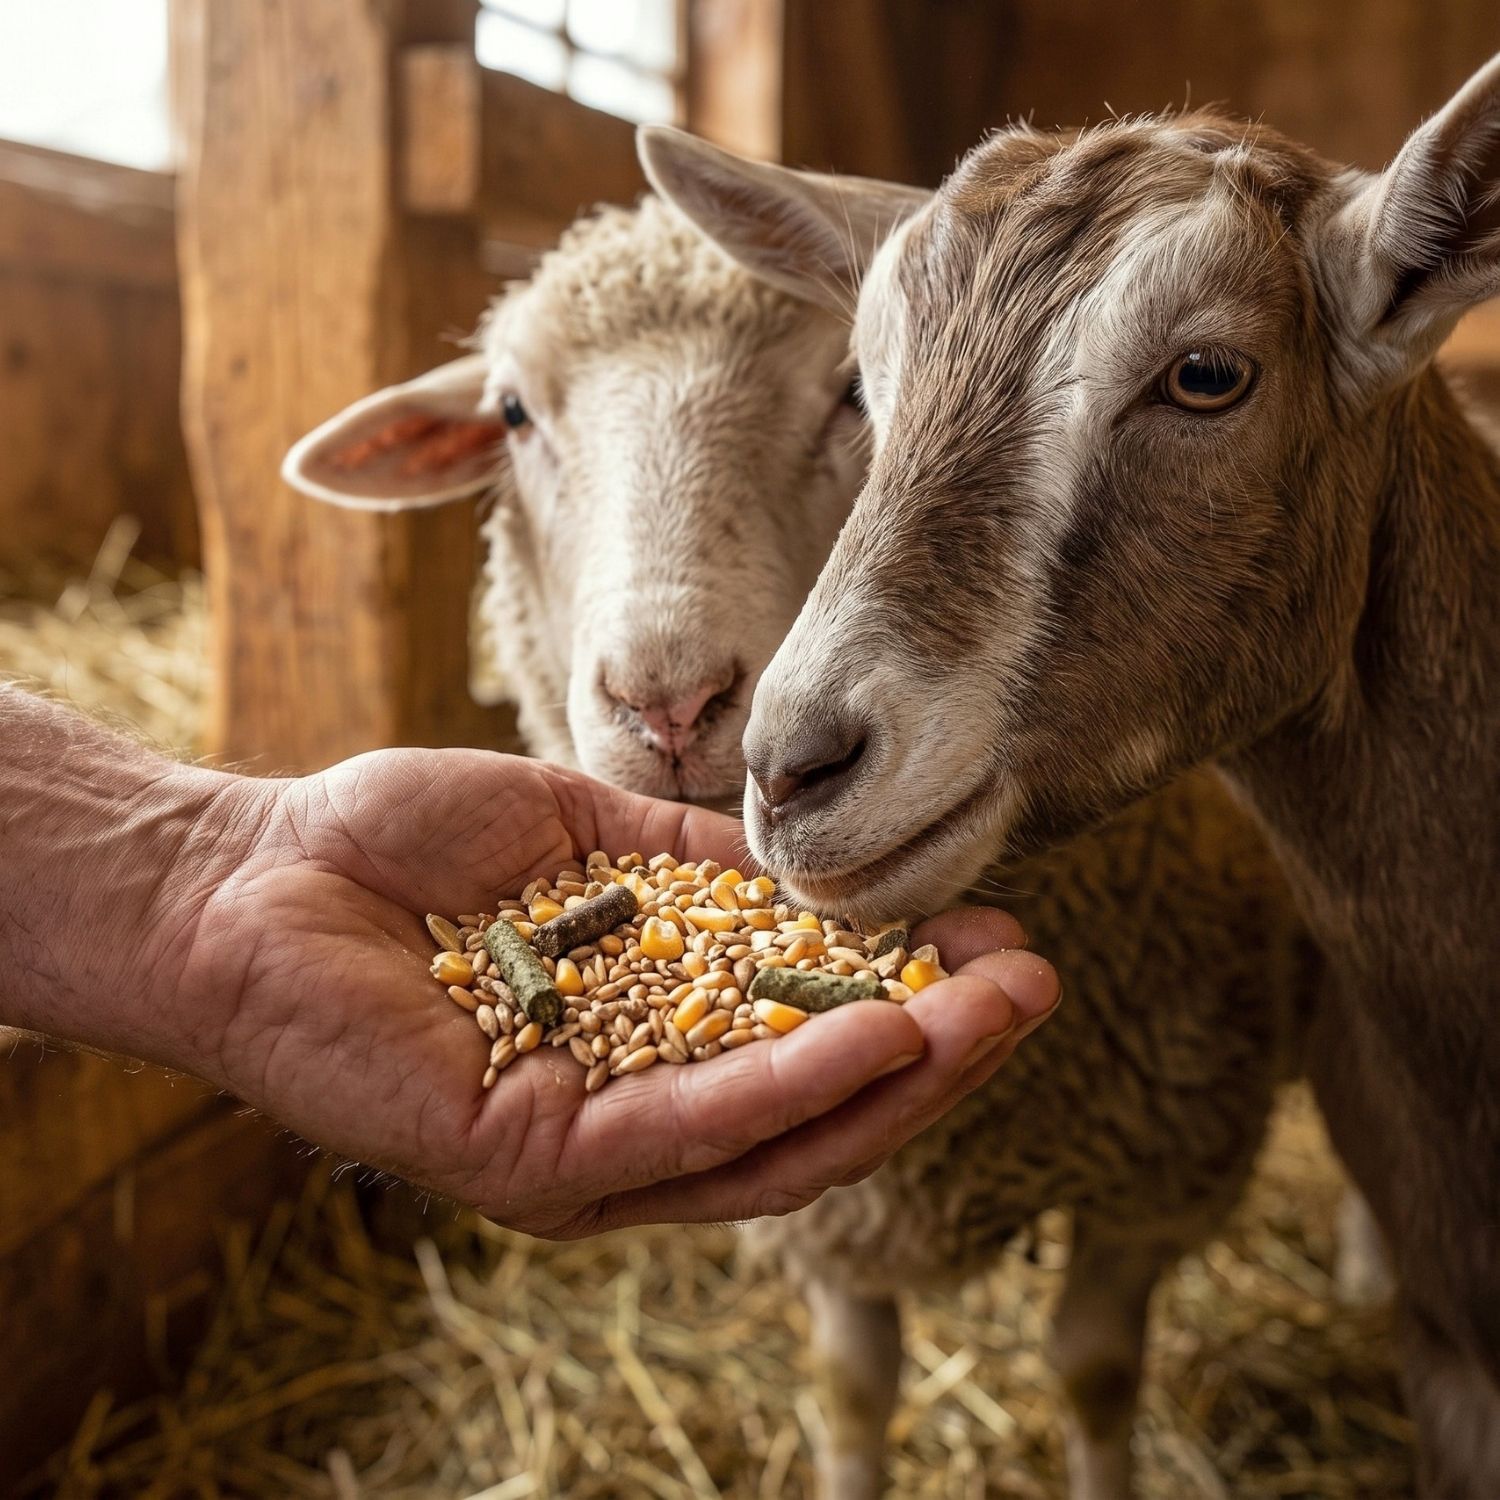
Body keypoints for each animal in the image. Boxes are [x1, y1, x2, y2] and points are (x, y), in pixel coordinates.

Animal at [284, 194, 1345, 1500]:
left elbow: (1094, 1376)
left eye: (854, 390)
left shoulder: (1165, 1171)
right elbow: (852, 1391)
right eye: (515, 413)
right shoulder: (835, 1234)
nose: (670, 702)